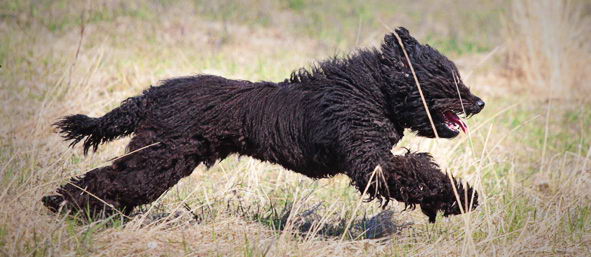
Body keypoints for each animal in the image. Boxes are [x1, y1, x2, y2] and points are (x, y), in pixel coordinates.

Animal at [42, 27, 486, 221]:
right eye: (447, 80)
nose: (479, 102)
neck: (370, 90)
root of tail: (155, 93)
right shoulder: (368, 162)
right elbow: (416, 173)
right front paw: (461, 197)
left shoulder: (373, 159)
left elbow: (417, 170)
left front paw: (454, 199)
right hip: (160, 155)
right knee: (111, 179)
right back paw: (62, 205)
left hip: (162, 157)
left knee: (114, 182)